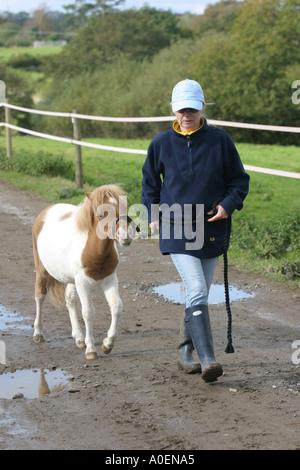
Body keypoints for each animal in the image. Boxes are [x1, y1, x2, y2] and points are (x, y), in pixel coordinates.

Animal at [31, 184, 134, 360]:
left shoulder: (109, 280)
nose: (125, 236)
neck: (94, 251)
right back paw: (38, 334)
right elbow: (88, 312)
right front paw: (91, 350)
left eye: (123, 207)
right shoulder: (83, 284)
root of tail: (46, 211)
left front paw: (107, 345)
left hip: (72, 281)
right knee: (40, 296)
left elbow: (116, 307)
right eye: (101, 214)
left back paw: (79, 338)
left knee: (70, 300)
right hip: (42, 270)